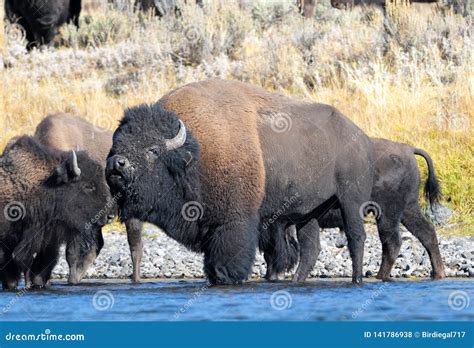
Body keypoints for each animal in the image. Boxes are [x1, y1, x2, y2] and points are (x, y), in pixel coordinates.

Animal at [106, 79, 374, 286]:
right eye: (116, 144)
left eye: (153, 150)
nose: (116, 164)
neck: (195, 152)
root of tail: (360, 138)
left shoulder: (233, 223)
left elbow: (225, 264)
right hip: (309, 213)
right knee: (311, 248)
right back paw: (297, 281)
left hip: (351, 201)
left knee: (356, 238)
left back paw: (357, 280)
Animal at [262, 137, 444, 282]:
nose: (270, 276)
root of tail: (408, 149)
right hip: (408, 209)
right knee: (426, 232)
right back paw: (437, 273)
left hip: (388, 213)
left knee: (392, 241)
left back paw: (380, 276)